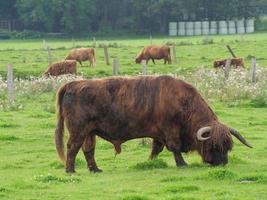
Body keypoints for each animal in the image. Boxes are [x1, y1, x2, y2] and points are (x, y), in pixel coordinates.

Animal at [55, 75, 253, 173]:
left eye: (228, 146)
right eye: (213, 145)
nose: (222, 163)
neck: (182, 101)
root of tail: (72, 84)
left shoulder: (158, 134)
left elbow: (156, 149)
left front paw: (150, 162)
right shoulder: (170, 130)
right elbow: (174, 147)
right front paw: (182, 164)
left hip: (90, 132)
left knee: (88, 150)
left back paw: (95, 169)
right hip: (78, 131)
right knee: (72, 147)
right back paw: (70, 170)